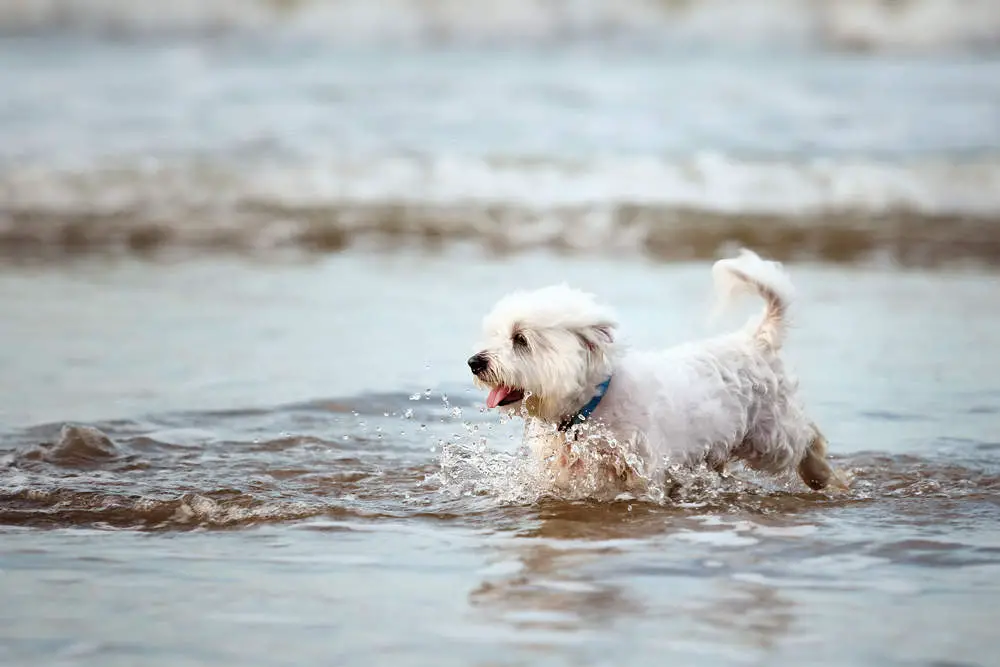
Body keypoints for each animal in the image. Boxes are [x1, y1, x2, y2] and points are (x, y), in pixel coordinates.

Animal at [466, 249, 844, 496]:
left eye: (520, 339)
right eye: (495, 335)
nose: (474, 361)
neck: (588, 410)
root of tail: (756, 339)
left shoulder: (641, 465)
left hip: (771, 437)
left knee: (807, 438)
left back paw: (822, 476)